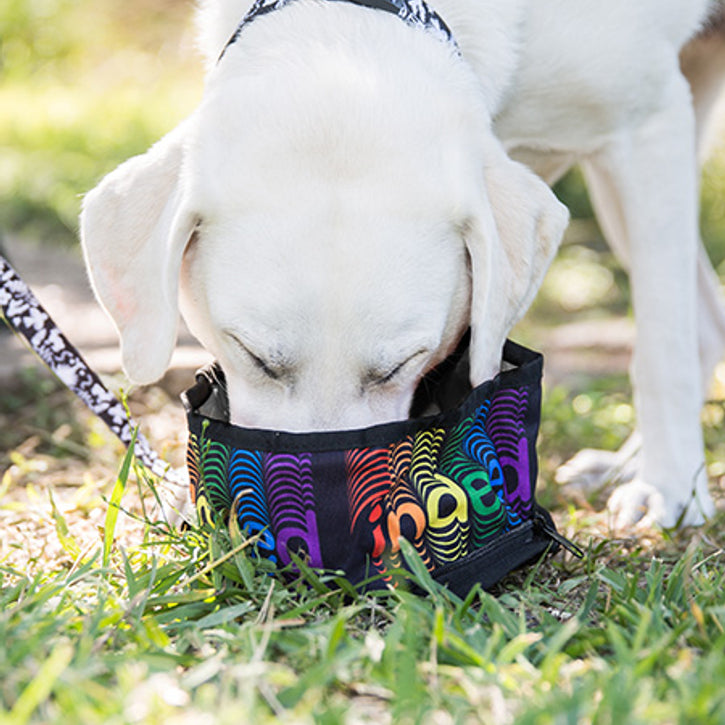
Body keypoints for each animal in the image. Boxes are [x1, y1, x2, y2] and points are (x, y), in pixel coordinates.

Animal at [79, 1, 724, 532]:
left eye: (399, 367)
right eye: (255, 358)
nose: (315, 570)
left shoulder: (649, 127)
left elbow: (661, 348)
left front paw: (669, 487)